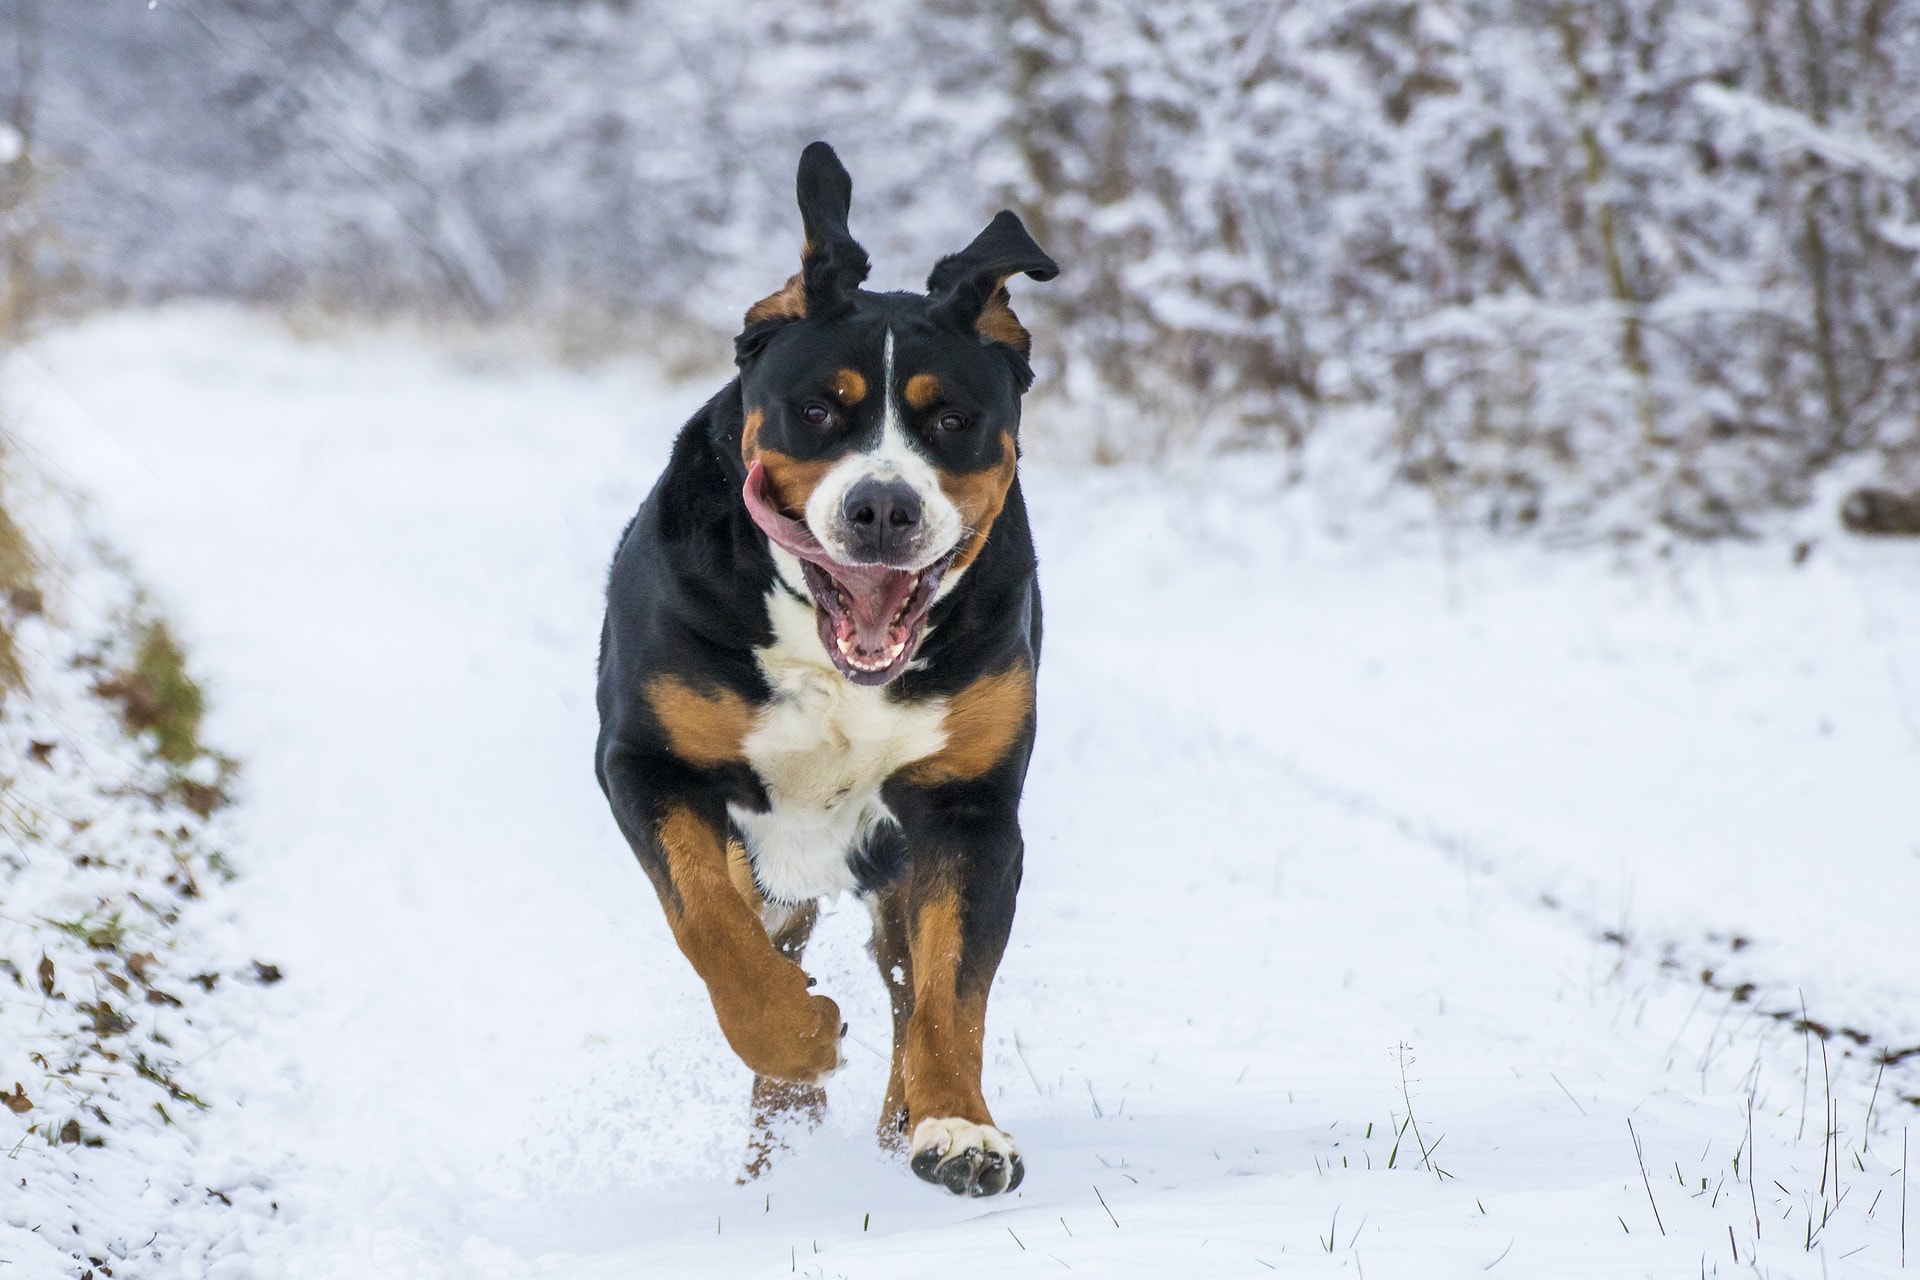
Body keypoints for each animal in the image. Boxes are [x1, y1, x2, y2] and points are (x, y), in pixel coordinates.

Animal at [591, 144, 1059, 1197]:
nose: (882, 507)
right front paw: (800, 1035)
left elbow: (949, 991)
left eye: (953, 420)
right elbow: (712, 928)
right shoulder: (649, 763)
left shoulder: (969, 809)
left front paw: (958, 1129)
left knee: (904, 982)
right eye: (817, 410)